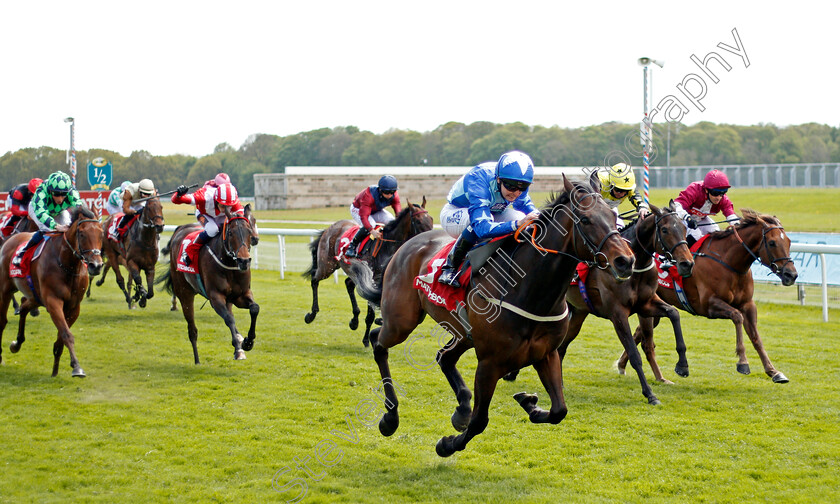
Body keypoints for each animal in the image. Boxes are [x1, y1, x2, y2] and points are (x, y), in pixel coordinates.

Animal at [0, 206, 103, 378]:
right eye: (82, 234)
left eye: (101, 233)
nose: (96, 266)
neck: (67, 265)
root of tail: (10, 240)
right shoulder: (53, 301)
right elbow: (66, 334)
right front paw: (77, 367)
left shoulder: (74, 307)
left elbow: (61, 337)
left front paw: (56, 369)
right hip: (5, 290)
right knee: (2, 321)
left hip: (35, 295)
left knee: (24, 306)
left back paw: (17, 343)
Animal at [154, 203, 260, 364]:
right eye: (231, 233)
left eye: (248, 231)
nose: (244, 261)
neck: (228, 264)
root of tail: (180, 229)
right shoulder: (215, 297)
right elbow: (229, 319)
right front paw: (238, 346)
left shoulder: (241, 295)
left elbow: (254, 309)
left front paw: (247, 342)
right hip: (184, 292)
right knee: (192, 329)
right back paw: (197, 360)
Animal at [302, 199, 434, 348]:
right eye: (418, 221)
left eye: (431, 219)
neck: (388, 246)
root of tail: (331, 227)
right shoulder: (374, 280)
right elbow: (371, 313)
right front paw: (367, 339)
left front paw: (378, 323)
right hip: (327, 265)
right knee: (314, 280)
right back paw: (311, 314)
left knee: (348, 283)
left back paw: (354, 321)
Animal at [352, 177, 632, 456]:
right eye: (585, 219)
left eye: (612, 215)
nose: (625, 260)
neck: (530, 291)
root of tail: (408, 244)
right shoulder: (490, 363)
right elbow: (479, 421)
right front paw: (447, 445)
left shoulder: (547, 353)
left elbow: (558, 411)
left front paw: (529, 402)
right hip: (402, 321)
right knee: (379, 341)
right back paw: (390, 418)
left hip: (463, 333)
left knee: (444, 357)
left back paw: (461, 408)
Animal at [624, 209, 800, 382]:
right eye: (772, 243)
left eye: (789, 242)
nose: (791, 275)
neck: (728, 262)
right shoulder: (708, 305)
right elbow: (737, 317)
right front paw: (743, 362)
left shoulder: (748, 304)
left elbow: (756, 337)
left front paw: (773, 371)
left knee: (638, 334)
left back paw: (622, 365)